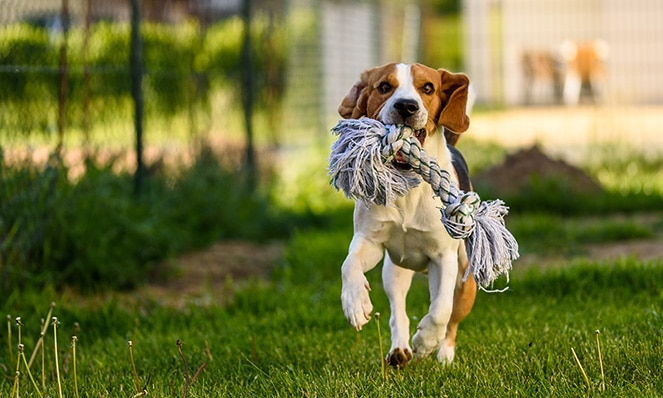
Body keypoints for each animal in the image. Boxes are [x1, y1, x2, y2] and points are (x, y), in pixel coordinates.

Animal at [338, 61, 478, 366]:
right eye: (383, 87)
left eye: (428, 88)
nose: (406, 106)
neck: (408, 187)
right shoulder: (369, 241)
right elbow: (349, 264)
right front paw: (355, 303)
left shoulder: (444, 257)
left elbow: (441, 310)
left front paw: (426, 341)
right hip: (394, 272)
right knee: (397, 312)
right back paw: (399, 350)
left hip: (466, 279)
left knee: (451, 319)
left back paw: (444, 354)